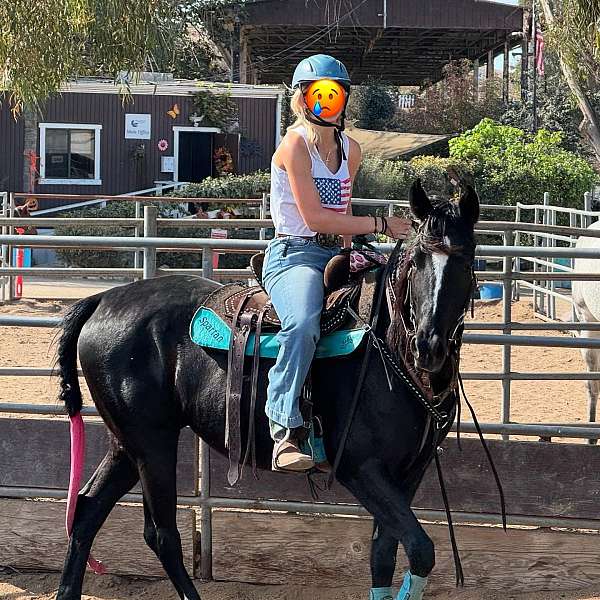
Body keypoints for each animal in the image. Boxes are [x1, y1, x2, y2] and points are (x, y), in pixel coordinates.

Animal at [55, 182, 478, 600]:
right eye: (417, 260)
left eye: (465, 260)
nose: (428, 346)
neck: (386, 353)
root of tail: (103, 300)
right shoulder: (361, 469)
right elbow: (421, 549)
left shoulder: (408, 473)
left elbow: (384, 555)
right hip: (152, 443)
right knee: (160, 534)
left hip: (127, 442)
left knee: (87, 510)